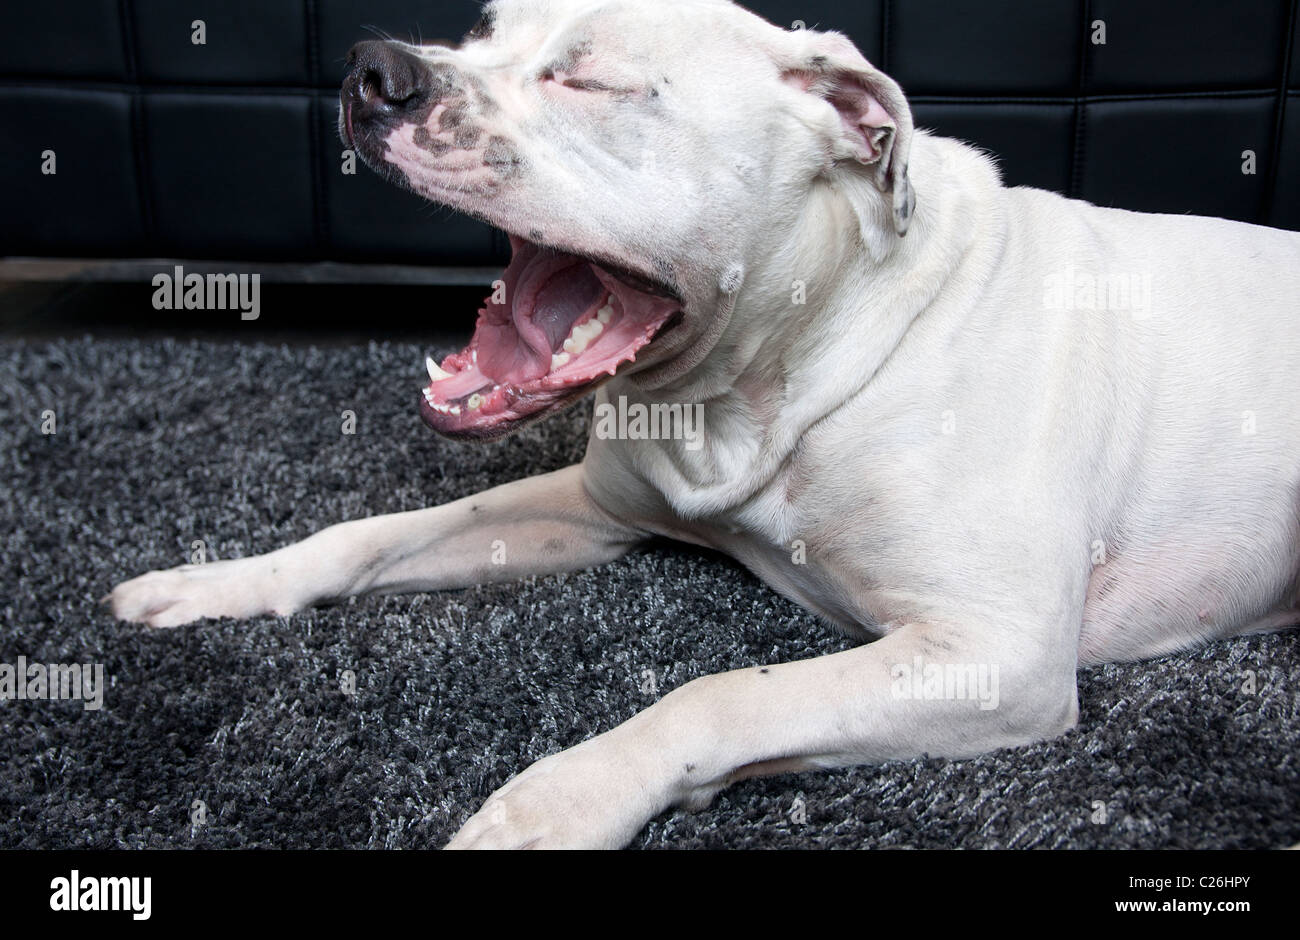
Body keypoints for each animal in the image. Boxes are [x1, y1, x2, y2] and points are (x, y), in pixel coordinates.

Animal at [109, 0, 1300, 847]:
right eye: (484, 32)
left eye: (589, 76)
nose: (372, 67)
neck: (776, 375)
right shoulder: (587, 506)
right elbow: (368, 536)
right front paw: (218, 581)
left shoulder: (990, 655)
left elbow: (714, 698)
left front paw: (553, 801)